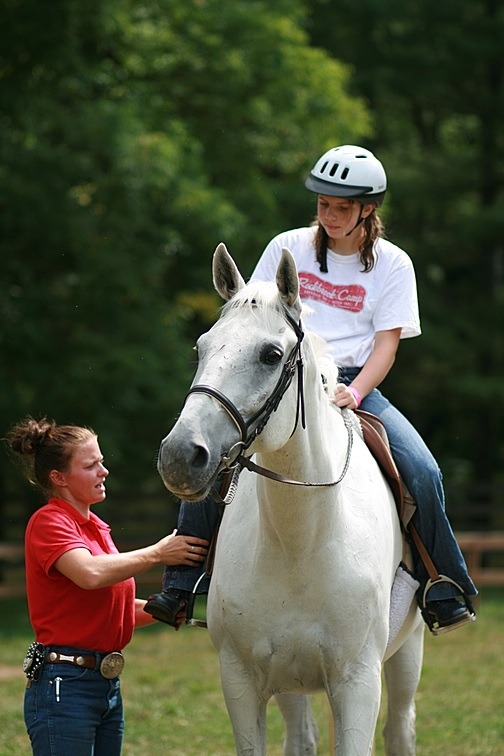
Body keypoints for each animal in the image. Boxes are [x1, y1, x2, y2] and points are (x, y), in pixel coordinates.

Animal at [158, 245, 426, 752]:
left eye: (271, 354)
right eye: (201, 348)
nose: (180, 456)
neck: (300, 543)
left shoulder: (358, 684)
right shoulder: (241, 681)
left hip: (408, 651)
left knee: (400, 727)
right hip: (289, 682)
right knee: (301, 737)